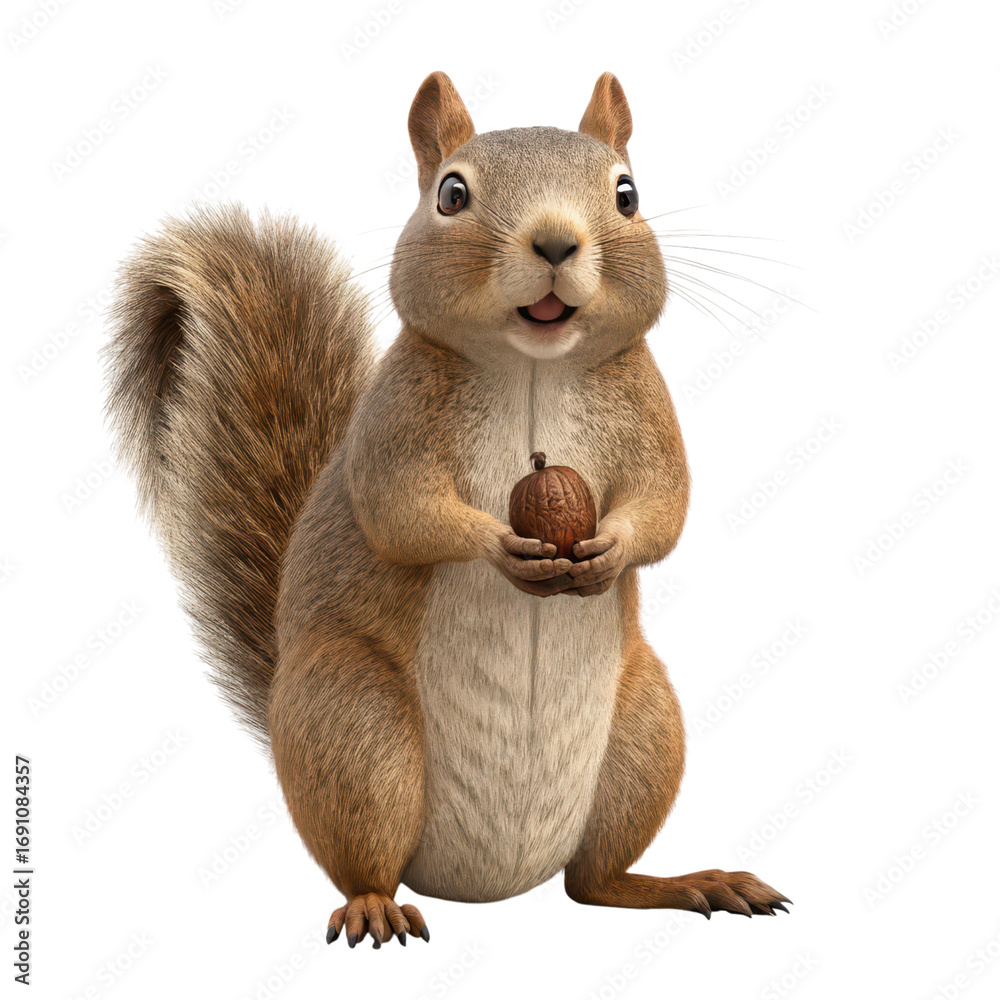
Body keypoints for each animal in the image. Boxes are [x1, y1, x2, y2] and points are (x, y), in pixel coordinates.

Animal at [104, 71, 791, 949]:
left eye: (628, 194)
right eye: (452, 194)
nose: (556, 243)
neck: (534, 367)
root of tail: (491, 885)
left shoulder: (648, 411)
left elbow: (664, 505)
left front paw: (606, 548)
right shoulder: (395, 419)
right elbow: (402, 510)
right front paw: (503, 547)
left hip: (646, 729)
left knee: (594, 884)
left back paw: (683, 882)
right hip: (356, 730)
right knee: (368, 859)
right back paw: (374, 904)